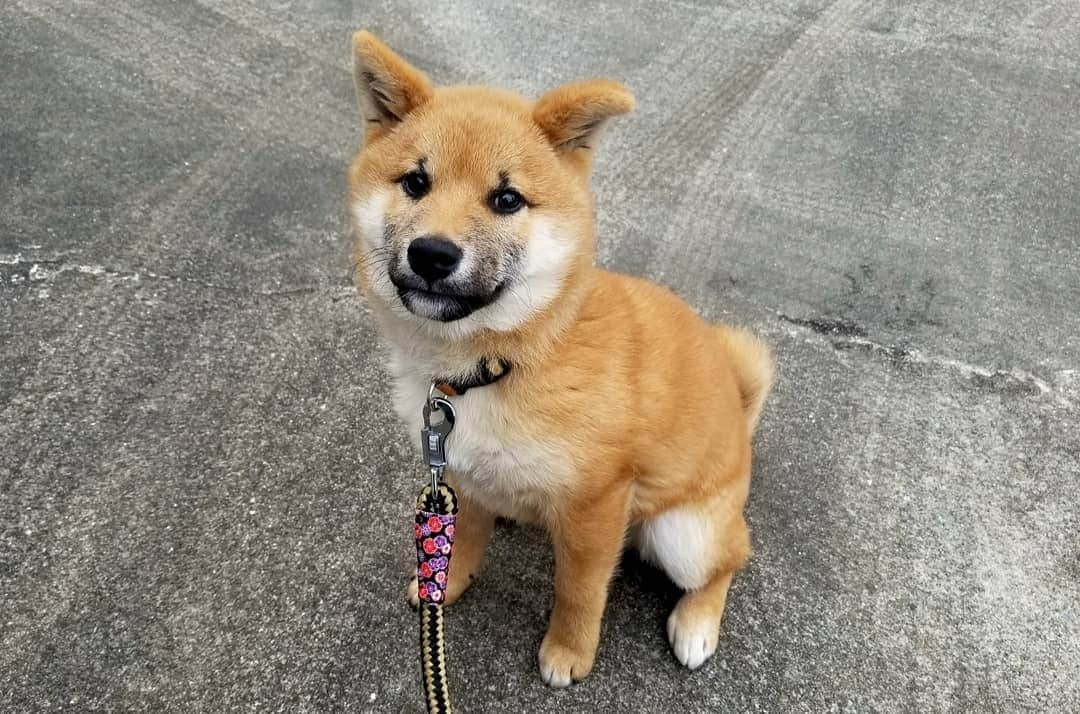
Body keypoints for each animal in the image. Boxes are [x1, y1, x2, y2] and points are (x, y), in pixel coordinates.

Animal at [347, 32, 777, 686]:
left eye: (507, 199)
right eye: (416, 183)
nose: (431, 254)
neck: (504, 364)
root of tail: (737, 411)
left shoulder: (598, 502)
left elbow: (579, 588)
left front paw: (569, 652)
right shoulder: (458, 475)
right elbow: (459, 542)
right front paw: (443, 585)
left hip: (684, 533)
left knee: (730, 558)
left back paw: (696, 624)